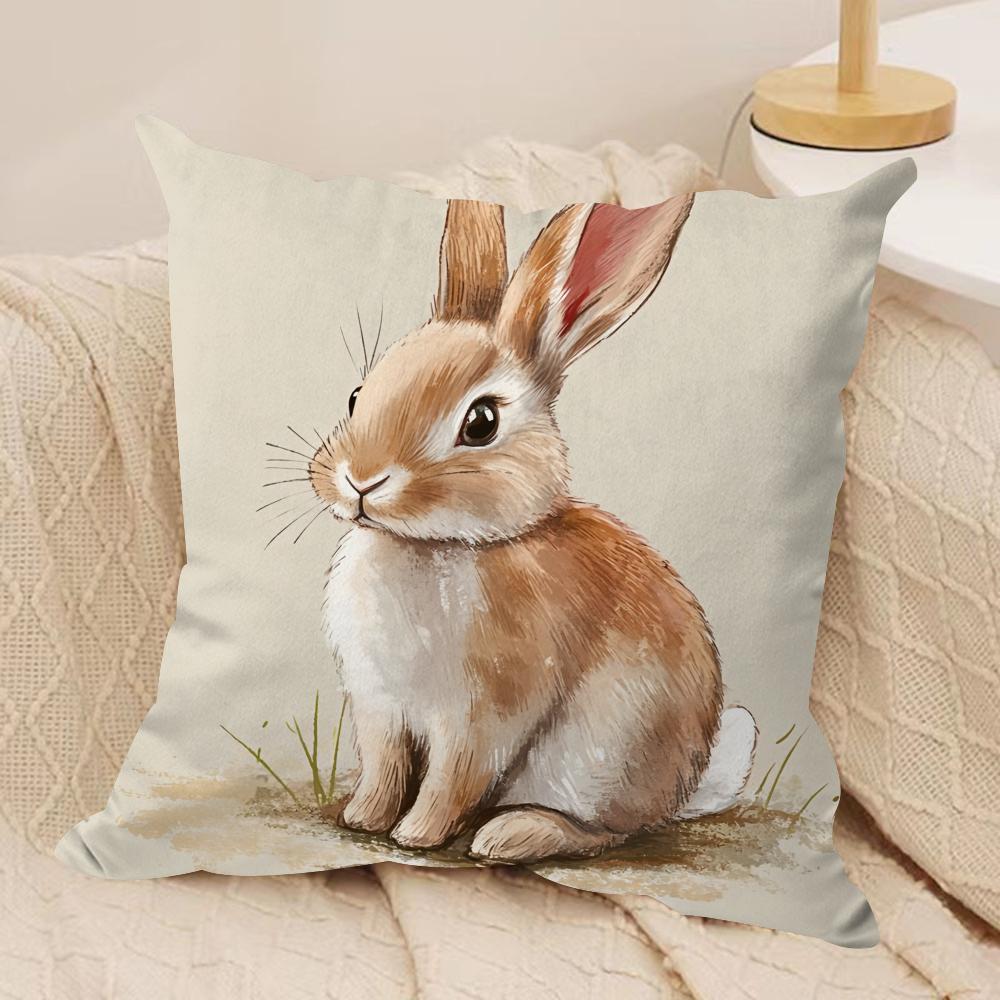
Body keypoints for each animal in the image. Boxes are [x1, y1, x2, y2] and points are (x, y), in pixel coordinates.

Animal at [307, 196, 757, 862]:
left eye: (481, 422)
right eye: (357, 396)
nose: (361, 481)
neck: (434, 544)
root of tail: (682, 788)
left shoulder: (481, 717)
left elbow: (451, 780)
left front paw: (417, 835)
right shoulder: (378, 707)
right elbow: (385, 768)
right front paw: (363, 818)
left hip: (598, 759)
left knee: (604, 832)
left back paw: (510, 835)